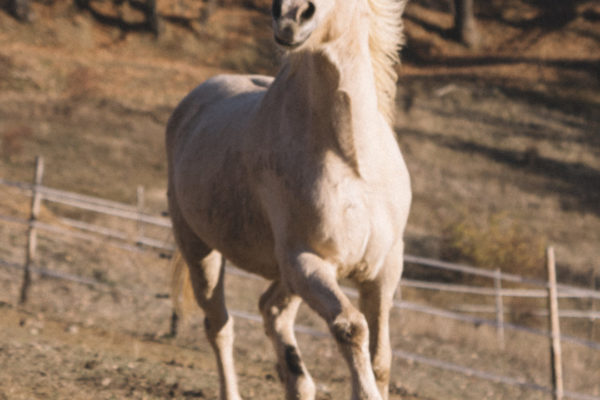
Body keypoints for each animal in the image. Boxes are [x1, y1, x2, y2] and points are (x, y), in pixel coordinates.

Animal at [166, 0, 412, 396]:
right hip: (201, 251)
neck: (352, 160)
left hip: (286, 275)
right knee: (219, 325)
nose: (291, 16)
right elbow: (351, 327)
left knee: (272, 311)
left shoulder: (384, 269)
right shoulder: (307, 261)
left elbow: (381, 359)